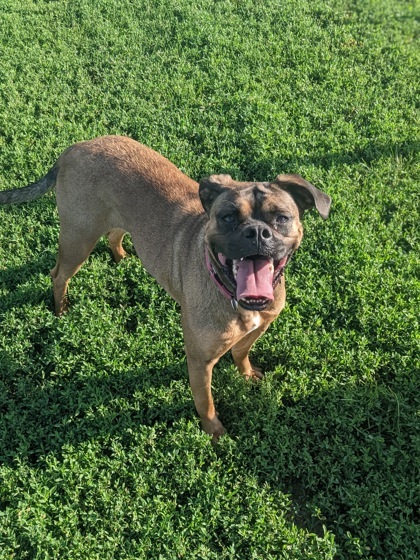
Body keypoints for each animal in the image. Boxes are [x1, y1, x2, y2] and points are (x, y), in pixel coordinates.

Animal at [0, 135, 332, 438]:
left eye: (281, 218)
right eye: (227, 217)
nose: (257, 233)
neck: (232, 296)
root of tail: (74, 148)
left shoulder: (259, 327)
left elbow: (241, 352)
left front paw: (247, 374)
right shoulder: (199, 361)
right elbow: (206, 403)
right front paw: (215, 434)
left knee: (114, 235)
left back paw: (122, 260)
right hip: (78, 239)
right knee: (58, 275)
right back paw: (60, 310)